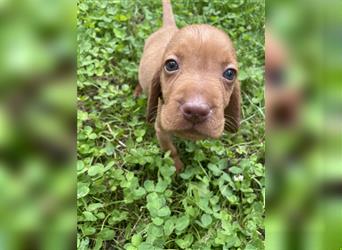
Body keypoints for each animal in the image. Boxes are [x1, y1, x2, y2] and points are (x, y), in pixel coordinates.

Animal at [136, 0, 240, 171]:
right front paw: (177, 169)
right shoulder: (161, 130)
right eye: (171, 65)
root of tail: (169, 27)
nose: (196, 111)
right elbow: (171, 151)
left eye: (230, 74)